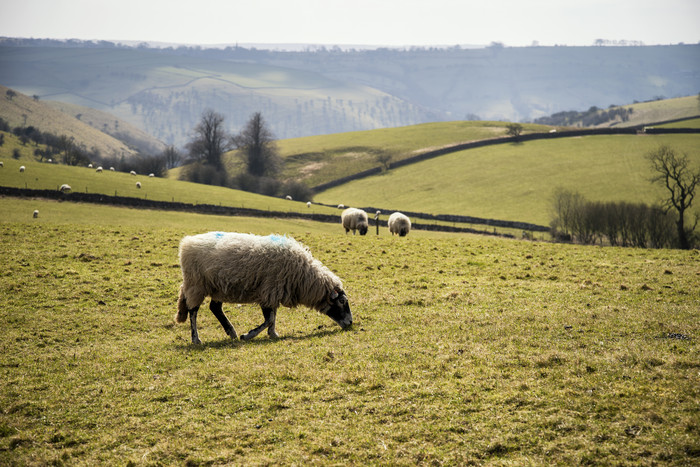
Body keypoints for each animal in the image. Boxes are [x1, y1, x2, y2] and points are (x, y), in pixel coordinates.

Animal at [175, 233, 350, 346]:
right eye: (342, 301)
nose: (350, 322)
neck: (303, 276)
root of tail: (187, 243)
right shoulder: (269, 290)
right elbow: (270, 318)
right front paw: (248, 335)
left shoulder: (274, 292)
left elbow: (272, 317)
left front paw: (273, 334)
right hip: (196, 284)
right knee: (193, 311)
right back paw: (196, 339)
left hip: (217, 287)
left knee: (215, 307)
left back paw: (231, 331)